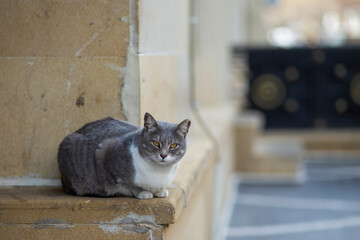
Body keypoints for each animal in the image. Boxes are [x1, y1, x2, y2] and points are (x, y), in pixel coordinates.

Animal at [57, 112, 191, 199]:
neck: (160, 172)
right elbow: (130, 184)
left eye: (173, 145)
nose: (163, 155)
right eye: (155, 143)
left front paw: (160, 190)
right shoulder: (106, 157)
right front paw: (143, 192)